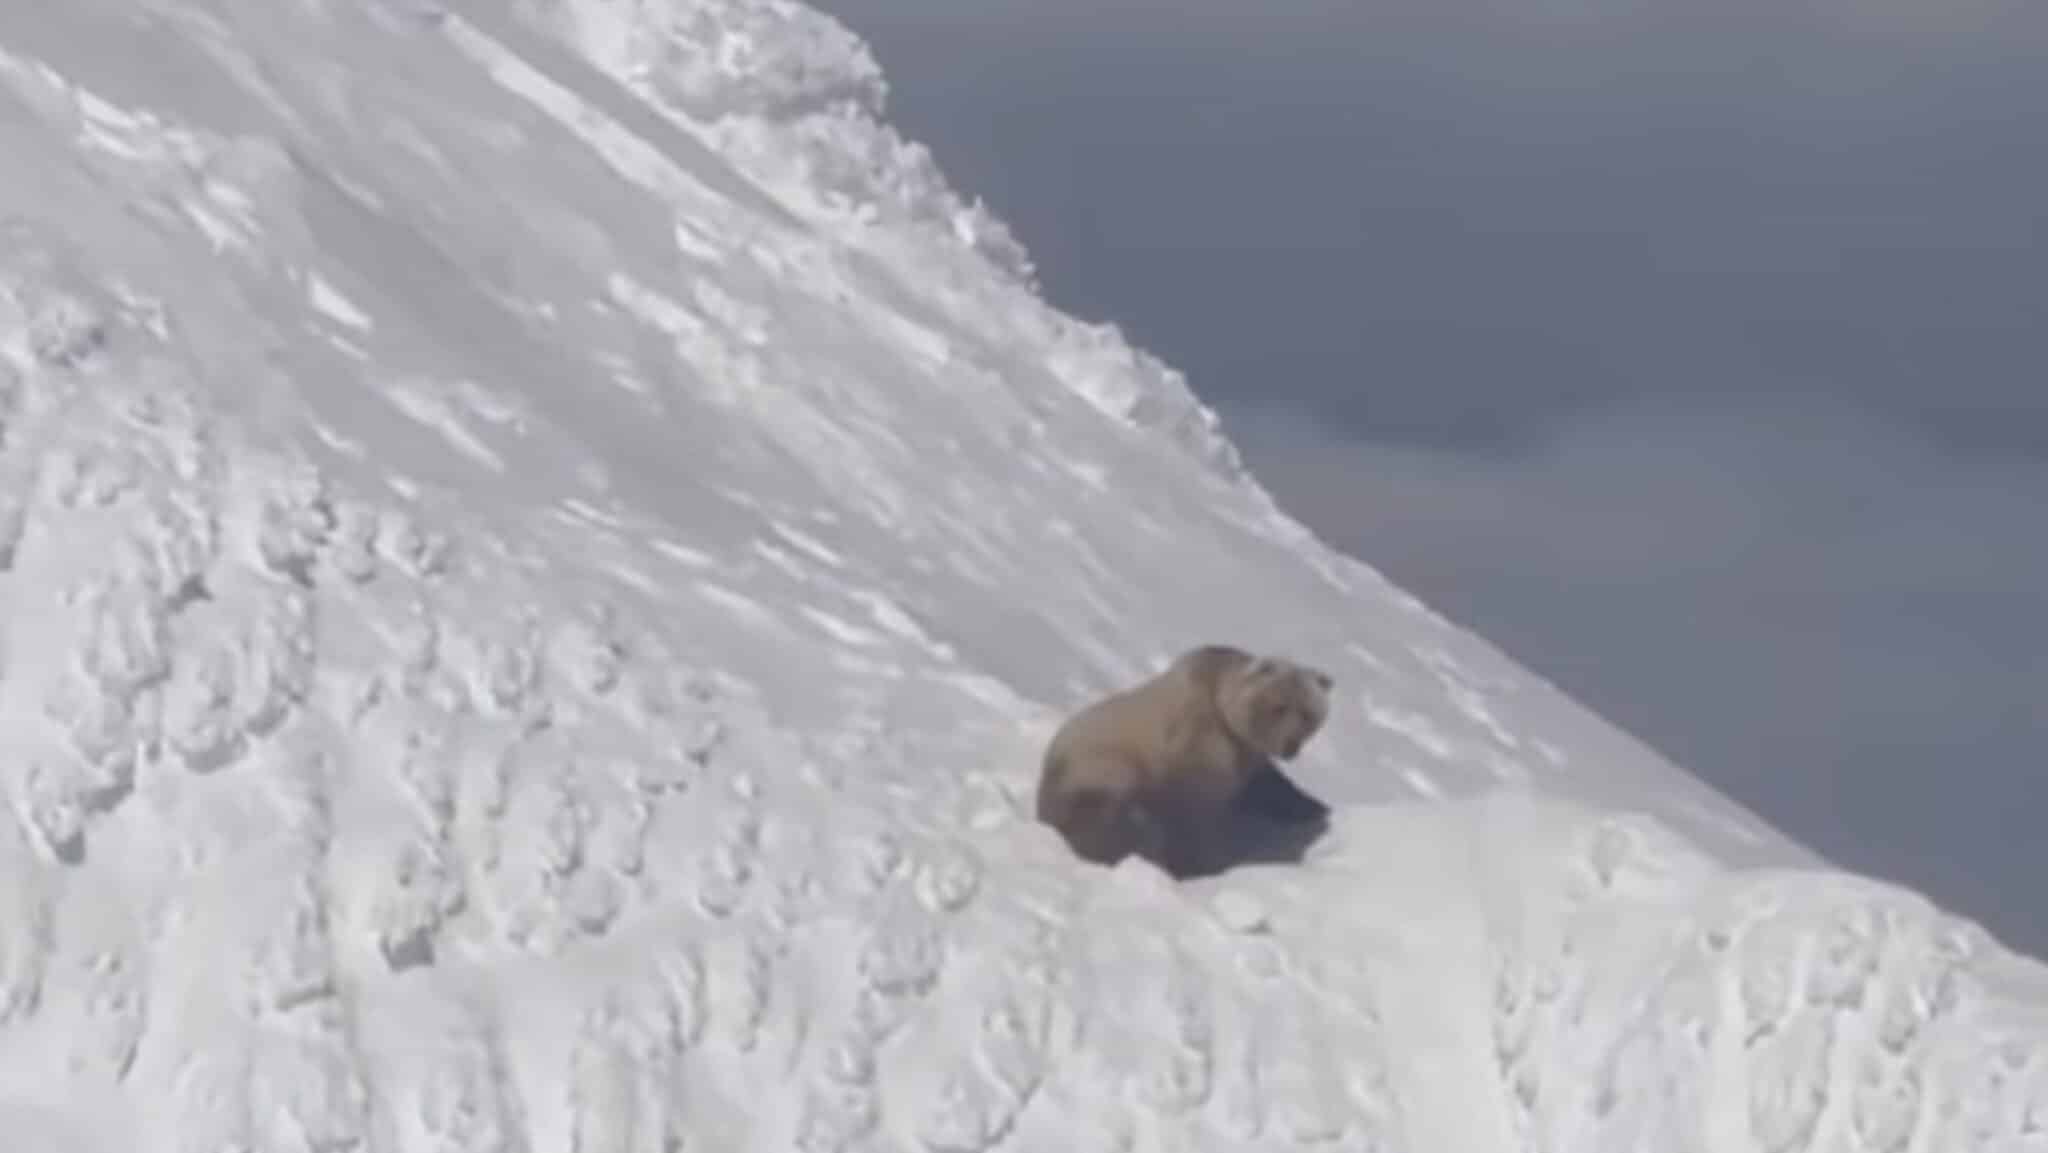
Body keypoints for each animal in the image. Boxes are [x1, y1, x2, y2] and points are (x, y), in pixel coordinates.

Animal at [1034, 644, 1335, 879]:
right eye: (1279, 707)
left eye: (1308, 713)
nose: (1290, 745)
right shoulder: (1197, 743)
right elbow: (1192, 813)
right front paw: (1199, 865)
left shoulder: (1246, 757)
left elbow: (1270, 787)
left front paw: (1314, 807)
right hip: (1098, 765)